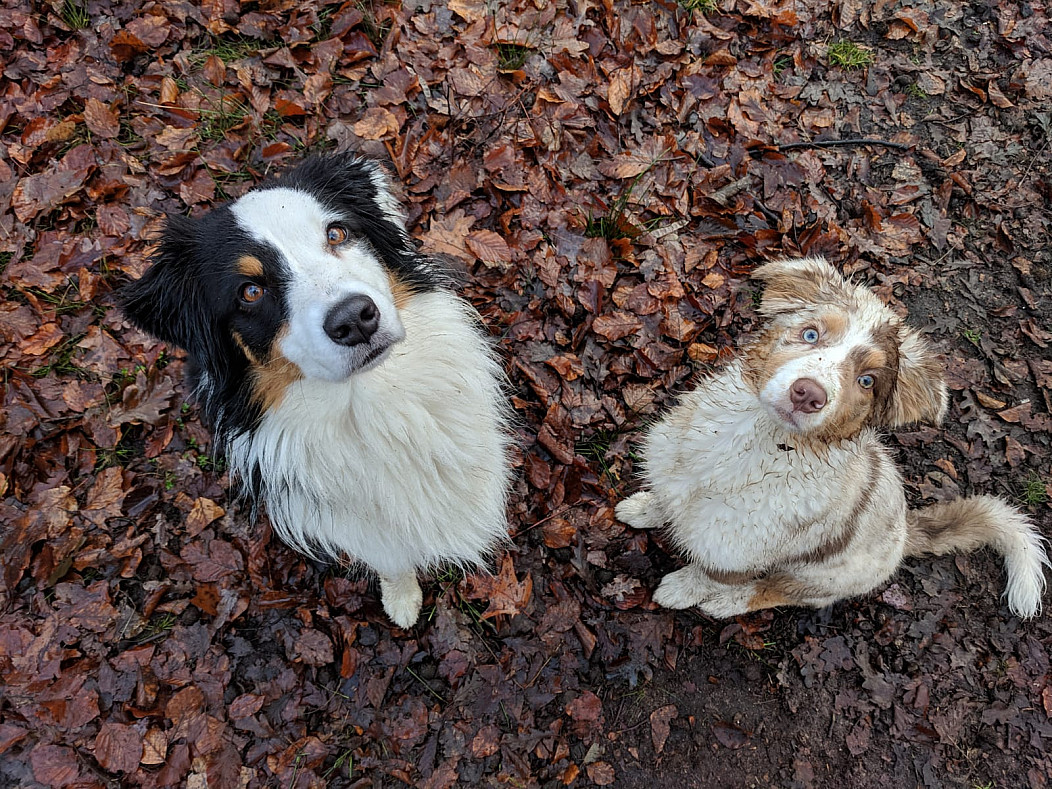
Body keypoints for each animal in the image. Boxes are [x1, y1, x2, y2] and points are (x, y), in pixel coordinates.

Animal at [122, 153, 512, 628]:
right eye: (250, 291)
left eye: (337, 233)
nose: (354, 319)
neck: (371, 406)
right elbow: (391, 558)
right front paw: (401, 598)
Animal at [616, 257, 1048, 619]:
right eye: (811, 334)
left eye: (867, 381)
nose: (808, 394)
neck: (746, 444)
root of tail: (906, 531)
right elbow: (667, 497)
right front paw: (644, 508)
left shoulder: (736, 551)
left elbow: (708, 575)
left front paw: (680, 591)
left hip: (822, 577)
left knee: (781, 591)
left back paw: (729, 603)